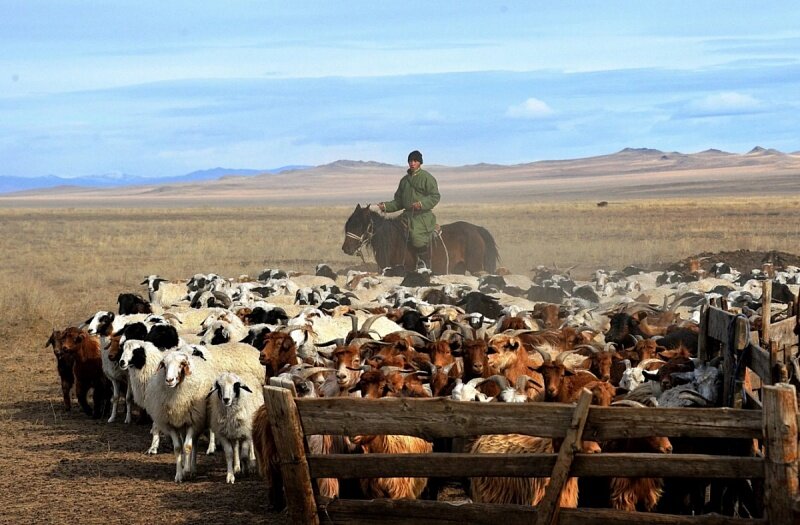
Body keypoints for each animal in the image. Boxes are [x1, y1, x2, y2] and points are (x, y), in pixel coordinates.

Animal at [340, 203, 500, 274]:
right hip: (458, 268)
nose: (346, 248)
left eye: (360, 225)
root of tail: (477, 229)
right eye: (349, 224)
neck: (393, 241)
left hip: (475, 267)